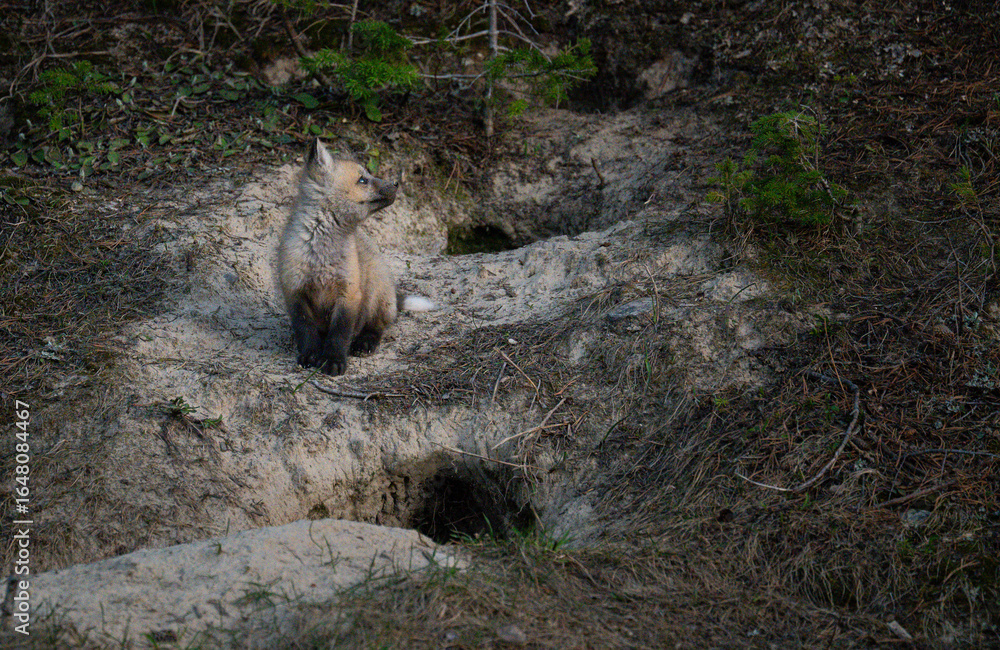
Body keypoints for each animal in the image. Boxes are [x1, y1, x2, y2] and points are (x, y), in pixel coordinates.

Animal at [278, 139, 433, 375]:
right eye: (362, 180)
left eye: (367, 175)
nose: (396, 183)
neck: (322, 255)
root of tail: (393, 296)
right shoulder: (295, 291)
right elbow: (305, 330)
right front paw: (310, 355)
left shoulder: (349, 293)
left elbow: (339, 333)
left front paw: (333, 360)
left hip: (376, 293)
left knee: (378, 326)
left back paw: (364, 342)